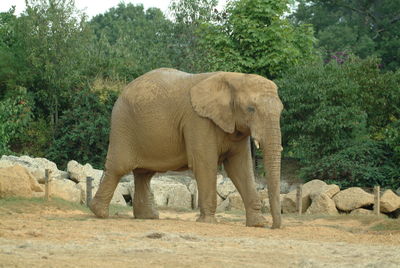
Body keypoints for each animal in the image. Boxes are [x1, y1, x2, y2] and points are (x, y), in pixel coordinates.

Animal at [90, 67, 284, 228]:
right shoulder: (198, 121)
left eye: (281, 110)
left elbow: (240, 168)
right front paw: (208, 222)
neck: (235, 78)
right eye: (251, 109)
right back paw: (99, 213)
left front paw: (257, 224)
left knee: (144, 174)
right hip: (123, 124)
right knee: (119, 167)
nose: (274, 226)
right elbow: (205, 164)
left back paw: (148, 217)